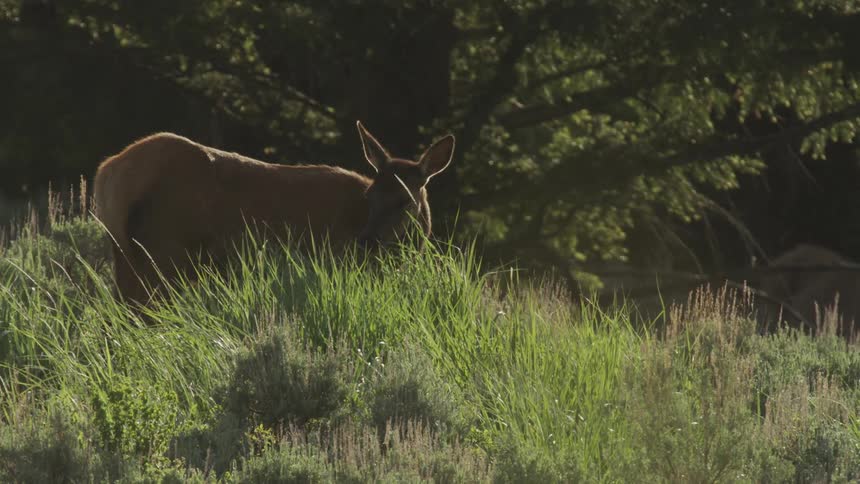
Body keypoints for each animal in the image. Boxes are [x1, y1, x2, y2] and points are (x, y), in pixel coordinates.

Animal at [94, 121, 455, 305]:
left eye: (405, 200)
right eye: (371, 197)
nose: (367, 241)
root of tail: (107, 172)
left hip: (125, 256)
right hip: (165, 252)